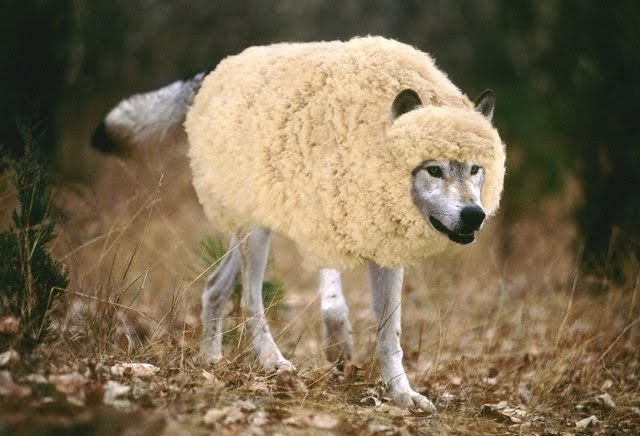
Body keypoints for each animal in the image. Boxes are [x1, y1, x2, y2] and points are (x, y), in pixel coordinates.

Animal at [94, 37, 504, 412]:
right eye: (434, 169)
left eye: (474, 169)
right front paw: (338, 346)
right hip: (257, 235)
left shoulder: (387, 250)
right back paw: (273, 362)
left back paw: (211, 361)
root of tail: (220, 68)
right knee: (250, 299)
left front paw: (402, 394)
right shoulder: (321, 225)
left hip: (247, 234)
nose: (474, 215)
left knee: (214, 287)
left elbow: (391, 334)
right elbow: (334, 302)